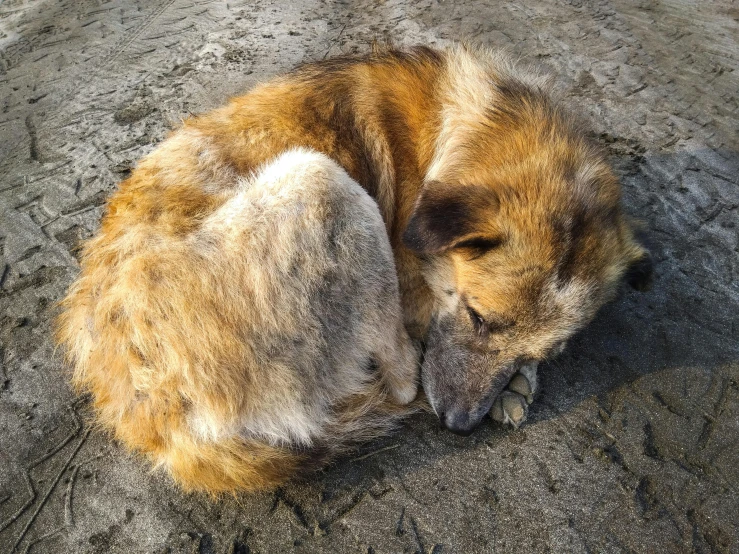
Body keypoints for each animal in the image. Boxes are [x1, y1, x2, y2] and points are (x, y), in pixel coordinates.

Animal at [55, 44, 652, 492]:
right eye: (479, 317)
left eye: (549, 351)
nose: (459, 427)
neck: (457, 133)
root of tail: (151, 412)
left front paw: (522, 377)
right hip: (321, 181)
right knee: (403, 380)